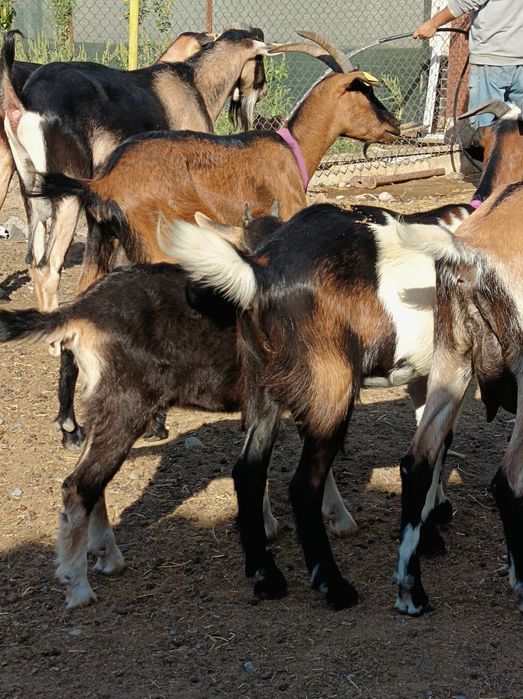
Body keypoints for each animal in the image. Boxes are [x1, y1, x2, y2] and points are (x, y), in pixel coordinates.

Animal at [1, 26, 269, 311]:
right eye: (261, 62)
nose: (263, 90)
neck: (194, 83)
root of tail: (24, 103)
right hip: (66, 197)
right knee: (48, 267)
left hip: (32, 191)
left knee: (33, 261)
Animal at [159, 200, 477, 609]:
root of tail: (259, 275)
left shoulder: (425, 378)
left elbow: (435, 447)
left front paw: (432, 528)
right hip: (330, 387)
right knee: (303, 485)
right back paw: (333, 584)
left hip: (265, 385)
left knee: (248, 472)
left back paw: (266, 575)